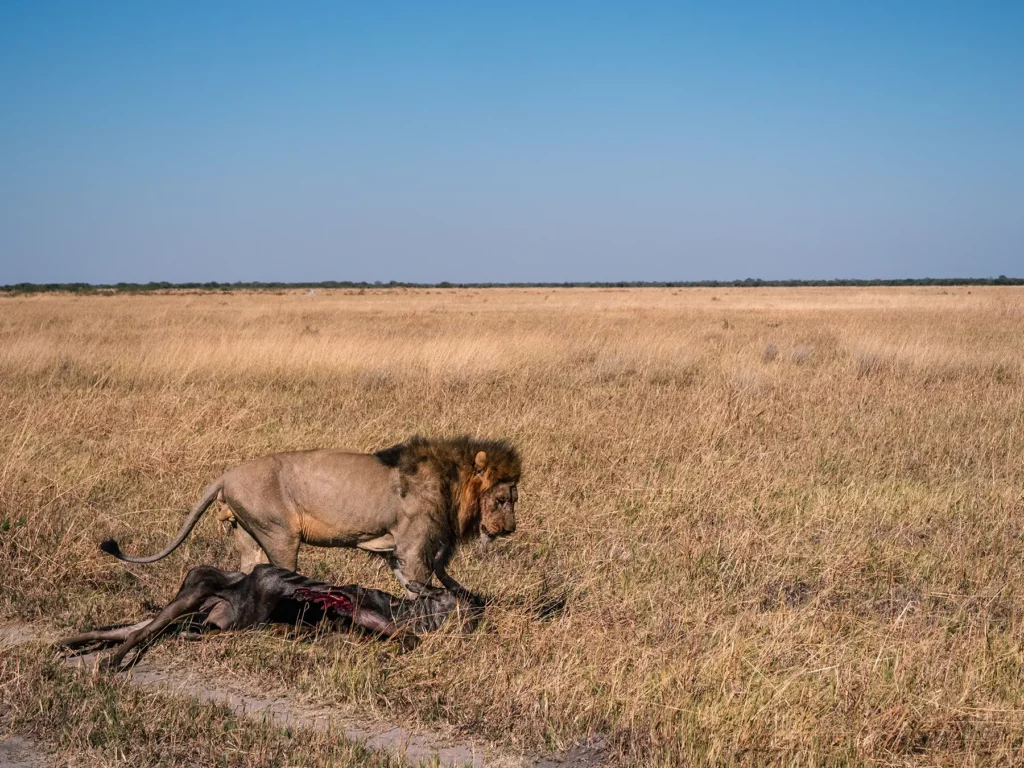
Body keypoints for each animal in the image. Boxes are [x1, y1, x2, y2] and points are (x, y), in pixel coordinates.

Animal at [101, 436, 521, 597]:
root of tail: (226, 475)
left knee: (246, 568)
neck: (454, 483)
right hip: (279, 534)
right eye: (503, 499)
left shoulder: (399, 549)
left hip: (246, 533)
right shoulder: (413, 542)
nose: (511, 529)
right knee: (275, 572)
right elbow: (420, 583)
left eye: (513, 498)